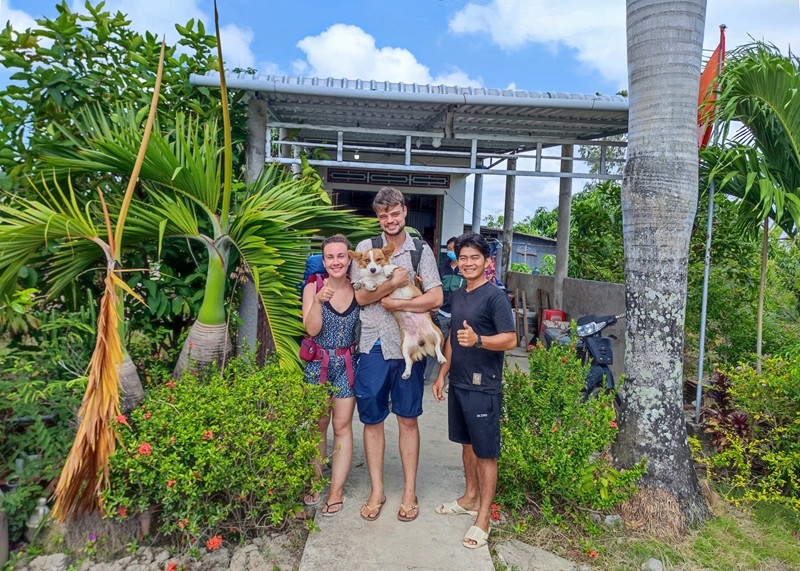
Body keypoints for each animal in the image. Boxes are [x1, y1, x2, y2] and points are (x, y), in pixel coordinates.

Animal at [352, 244, 450, 378]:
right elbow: (367, 283)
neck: (377, 277)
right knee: (409, 361)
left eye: (379, 259)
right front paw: (359, 283)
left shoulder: (400, 270)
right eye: (367, 260)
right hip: (404, 347)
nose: (372, 269)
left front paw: (387, 270)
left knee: (437, 348)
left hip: (437, 334)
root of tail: (422, 340)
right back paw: (406, 373)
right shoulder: (373, 287)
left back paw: (441, 358)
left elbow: (390, 267)